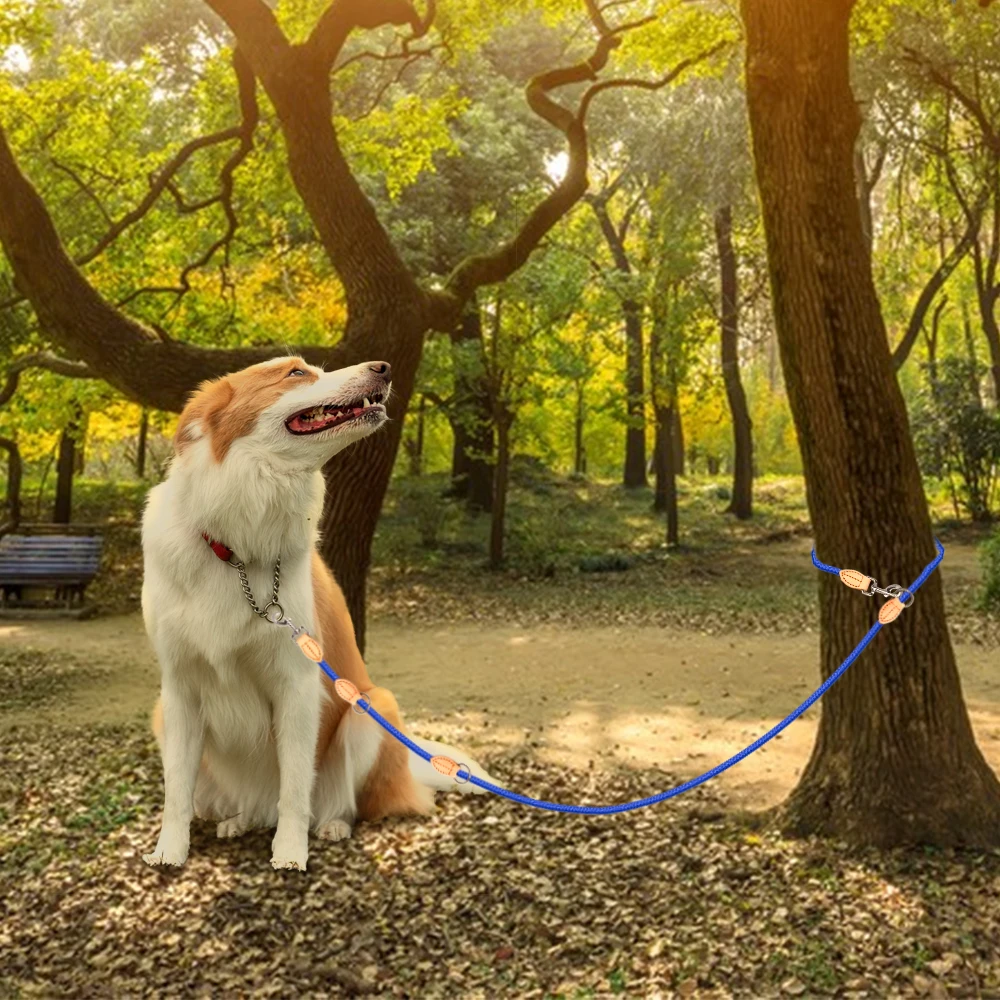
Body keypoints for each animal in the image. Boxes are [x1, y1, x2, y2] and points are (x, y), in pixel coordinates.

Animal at [142, 358, 496, 868]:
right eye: (295, 372)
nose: (383, 366)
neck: (238, 549)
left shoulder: (298, 685)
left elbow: (294, 789)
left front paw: (290, 855)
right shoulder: (180, 688)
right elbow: (176, 790)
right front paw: (169, 852)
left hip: (370, 707)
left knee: (349, 804)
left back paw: (332, 825)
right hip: (161, 717)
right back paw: (238, 820)